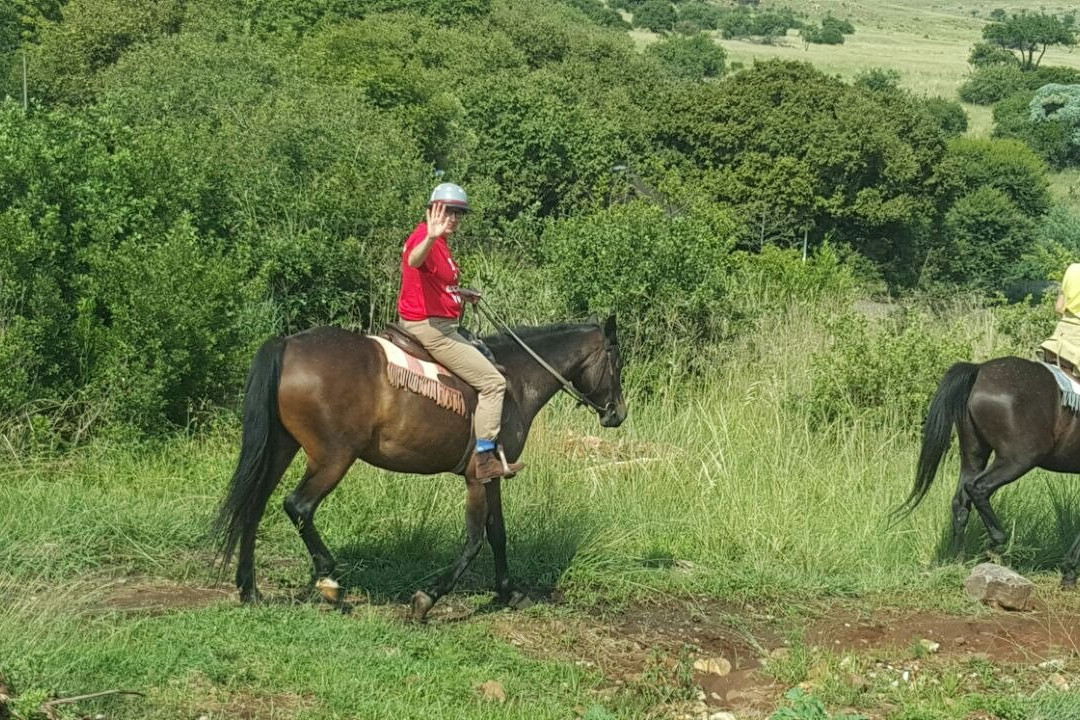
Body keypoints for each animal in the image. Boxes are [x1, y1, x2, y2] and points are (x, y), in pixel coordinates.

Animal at [214, 315, 630, 621]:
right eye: (617, 362)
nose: (618, 413)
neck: (514, 380)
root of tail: (288, 344)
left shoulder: (493, 476)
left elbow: (498, 534)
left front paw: (510, 592)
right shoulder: (477, 477)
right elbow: (474, 541)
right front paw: (427, 599)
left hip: (282, 448)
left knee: (254, 506)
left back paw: (250, 589)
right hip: (333, 457)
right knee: (297, 506)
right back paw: (329, 581)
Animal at [898, 356, 1080, 587]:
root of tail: (979, 370)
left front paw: (1069, 570)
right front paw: (1070, 570)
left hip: (974, 454)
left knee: (960, 501)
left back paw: (958, 561)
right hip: (1018, 459)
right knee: (978, 488)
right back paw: (997, 542)